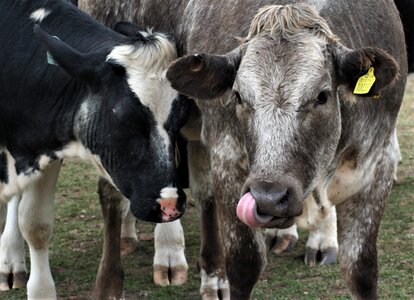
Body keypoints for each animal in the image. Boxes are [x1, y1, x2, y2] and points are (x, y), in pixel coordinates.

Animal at [79, 0, 406, 300]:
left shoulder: (380, 162)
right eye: (238, 96)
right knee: (113, 194)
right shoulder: (229, 160)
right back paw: (130, 272)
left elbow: (361, 269)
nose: (269, 198)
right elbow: (244, 264)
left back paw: (210, 275)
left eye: (322, 96)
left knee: (202, 193)